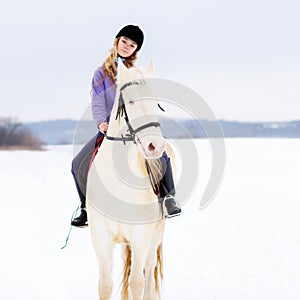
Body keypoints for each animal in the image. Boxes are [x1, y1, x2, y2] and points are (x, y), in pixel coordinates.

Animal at [86, 59, 175, 298]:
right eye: (132, 101)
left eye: (156, 102)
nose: (155, 146)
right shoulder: (102, 239)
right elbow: (105, 285)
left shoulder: (141, 238)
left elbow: (137, 283)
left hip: (155, 236)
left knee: (149, 271)